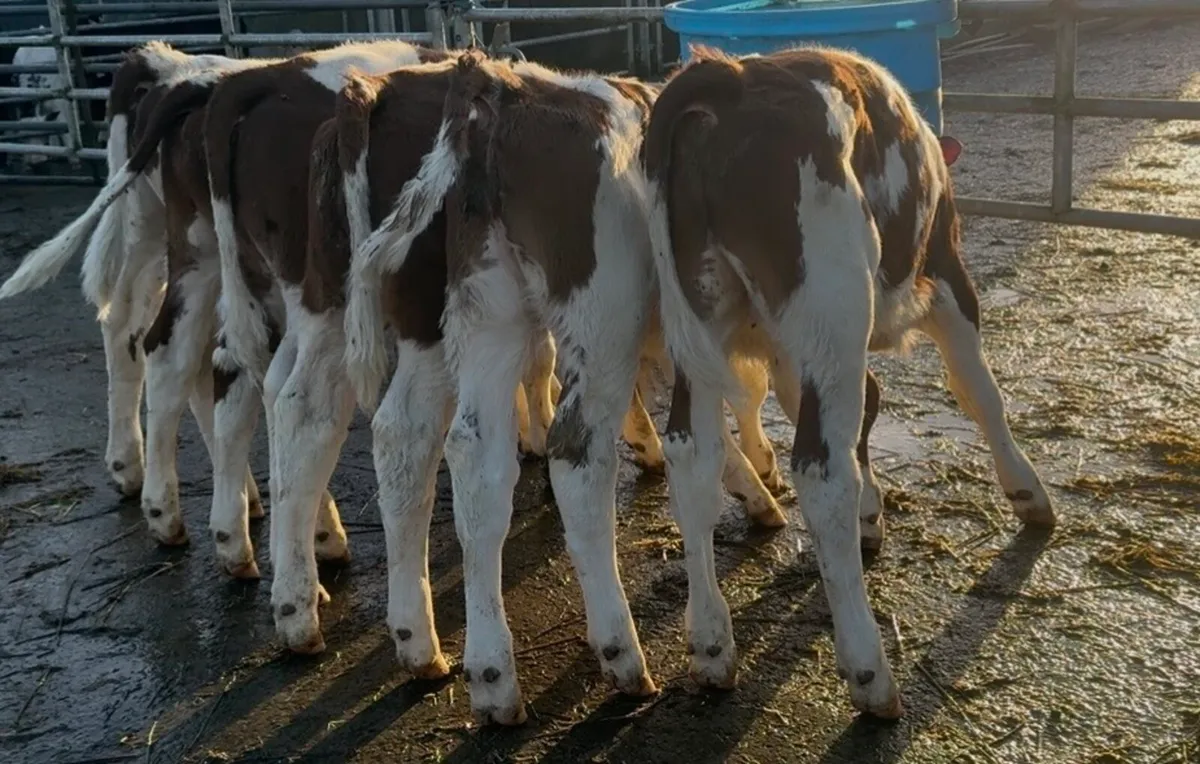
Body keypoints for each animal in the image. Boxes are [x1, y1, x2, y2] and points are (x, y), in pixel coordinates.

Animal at [640, 45, 1055, 717]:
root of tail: (729, 76)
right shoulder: (948, 275)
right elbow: (980, 391)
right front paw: (1027, 493)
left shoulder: (788, 349)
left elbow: (858, 413)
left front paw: (870, 518)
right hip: (834, 311)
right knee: (820, 469)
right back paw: (869, 670)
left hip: (701, 316)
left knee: (693, 458)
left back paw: (711, 644)